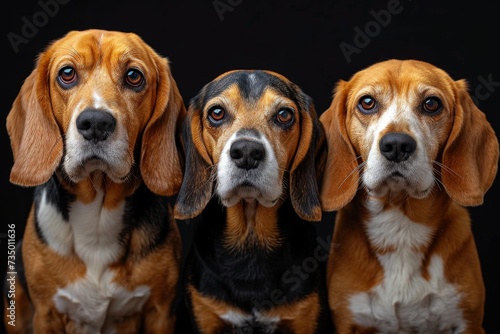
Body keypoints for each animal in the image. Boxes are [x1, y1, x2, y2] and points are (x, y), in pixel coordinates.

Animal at [2, 30, 187, 332]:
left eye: (134, 76)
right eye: (67, 73)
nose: (96, 123)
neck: (97, 215)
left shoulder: (161, 312)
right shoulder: (46, 313)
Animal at [318, 59, 498, 332]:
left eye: (431, 104)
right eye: (367, 102)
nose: (396, 145)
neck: (399, 226)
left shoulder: (467, 321)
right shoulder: (349, 320)